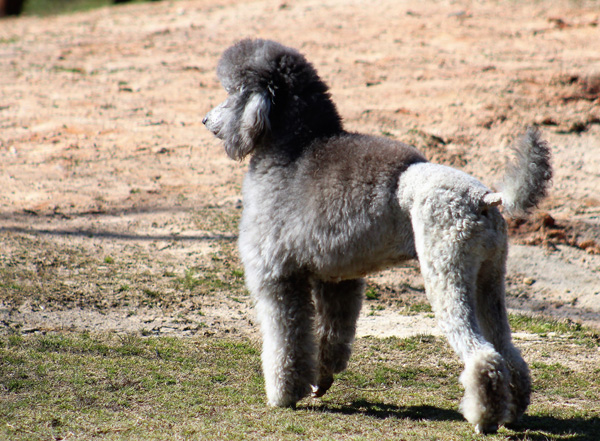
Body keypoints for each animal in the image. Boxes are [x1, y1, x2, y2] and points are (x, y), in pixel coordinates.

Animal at [203, 39, 552, 434]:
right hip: (488, 278)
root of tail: (484, 197)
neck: (293, 150)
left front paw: (283, 395)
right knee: (509, 354)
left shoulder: (277, 276)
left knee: (483, 355)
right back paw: (512, 412)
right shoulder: (337, 278)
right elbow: (331, 336)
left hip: (446, 273)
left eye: (231, 93)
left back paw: (484, 418)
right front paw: (320, 382)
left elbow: (286, 341)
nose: (206, 121)